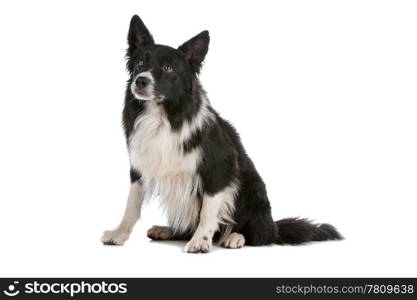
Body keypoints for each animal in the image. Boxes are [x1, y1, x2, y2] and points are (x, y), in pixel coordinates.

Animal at [101, 14, 342, 253]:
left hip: (254, 189)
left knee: (258, 234)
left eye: (168, 68)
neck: (163, 115)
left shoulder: (218, 168)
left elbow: (208, 211)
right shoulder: (140, 167)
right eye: (140, 63)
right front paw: (119, 234)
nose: (140, 80)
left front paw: (200, 241)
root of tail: (274, 227)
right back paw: (167, 230)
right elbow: (132, 205)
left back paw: (235, 237)